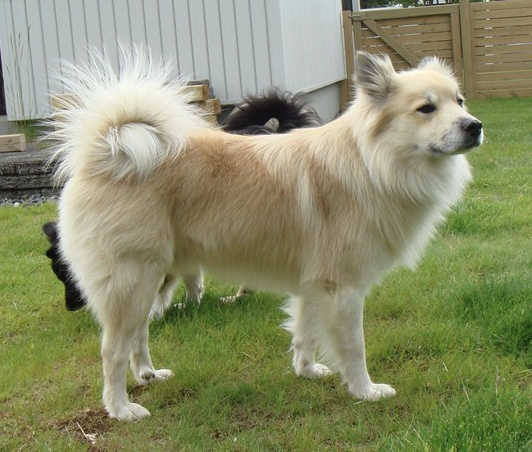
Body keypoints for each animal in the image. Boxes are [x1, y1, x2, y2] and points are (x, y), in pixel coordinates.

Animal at [48, 46, 482, 420]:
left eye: (459, 101)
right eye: (426, 108)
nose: (475, 126)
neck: (370, 162)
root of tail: (106, 148)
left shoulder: (313, 284)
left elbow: (305, 333)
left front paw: (307, 371)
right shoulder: (342, 288)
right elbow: (354, 348)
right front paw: (365, 391)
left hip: (148, 278)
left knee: (138, 336)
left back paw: (148, 376)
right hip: (131, 280)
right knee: (113, 350)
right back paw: (121, 408)